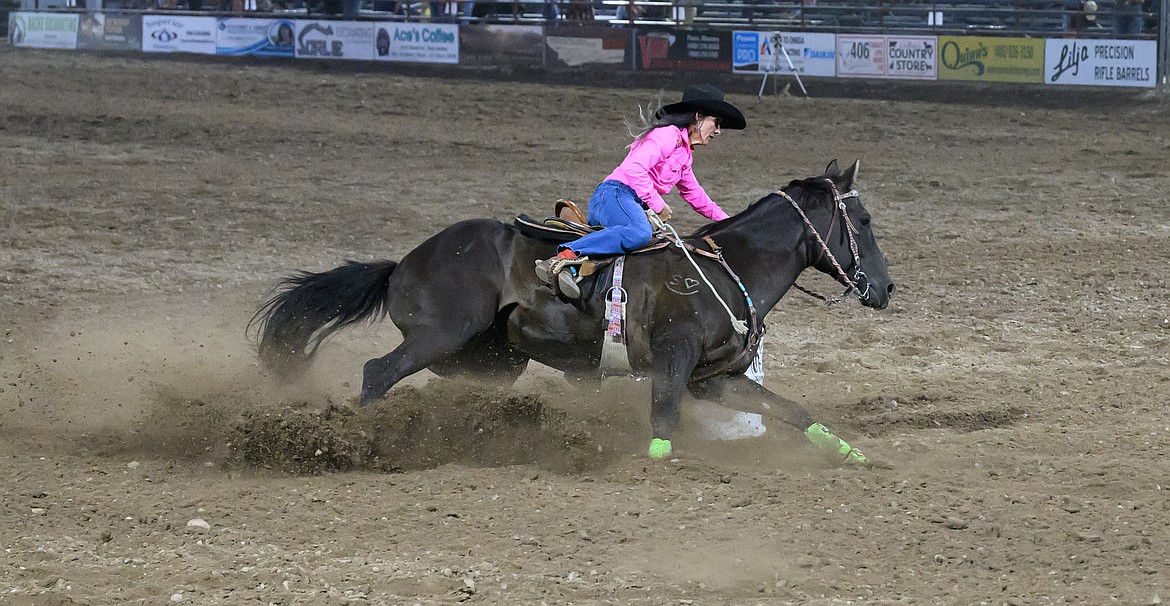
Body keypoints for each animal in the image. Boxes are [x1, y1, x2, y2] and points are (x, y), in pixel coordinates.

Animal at [253, 161, 893, 465]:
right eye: (862, 221)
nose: (885, 288)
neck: (723, 268)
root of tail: (403, 263)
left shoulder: (715, 379)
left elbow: (790, 411)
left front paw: (854, 455)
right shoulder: (675, 361)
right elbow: (663, 417)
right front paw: (658, 462)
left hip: (488, 360)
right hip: (437, 337)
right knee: (376, 373)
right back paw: (365, 441)